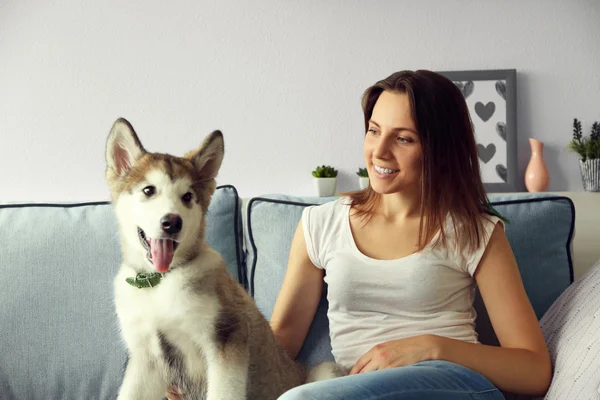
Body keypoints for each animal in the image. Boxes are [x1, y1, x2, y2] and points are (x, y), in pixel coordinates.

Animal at [105, 119, 344, 400]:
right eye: (148, 190)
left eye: (188, 197)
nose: (172, 222)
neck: (160, 283)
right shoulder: (146, 357)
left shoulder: (226, 337)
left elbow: (223, 392)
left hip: (325, 370)